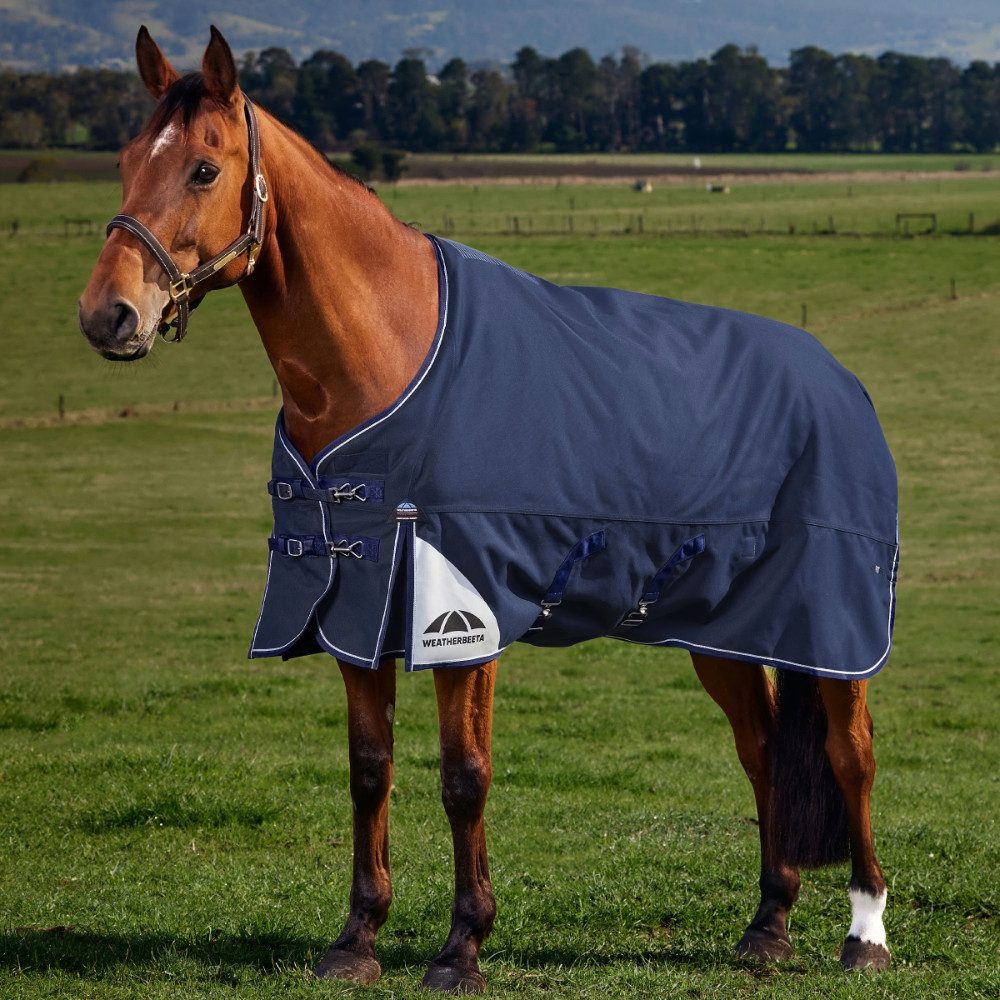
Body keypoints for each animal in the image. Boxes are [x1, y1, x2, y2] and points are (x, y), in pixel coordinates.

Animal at [78, 26, 895, 992]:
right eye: (126, 160)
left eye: (204, 168)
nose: (106, 315)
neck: (385, 356)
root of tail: (839, 381)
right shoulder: (356, 604)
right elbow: (369, 770)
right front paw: (356, 939)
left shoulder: (460, 611)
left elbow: (463, 775)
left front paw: (462, 945)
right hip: (721, 625)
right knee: (764, 748)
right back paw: (768, 921)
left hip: (833, 621)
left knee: (850, 755)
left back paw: (866, 932)